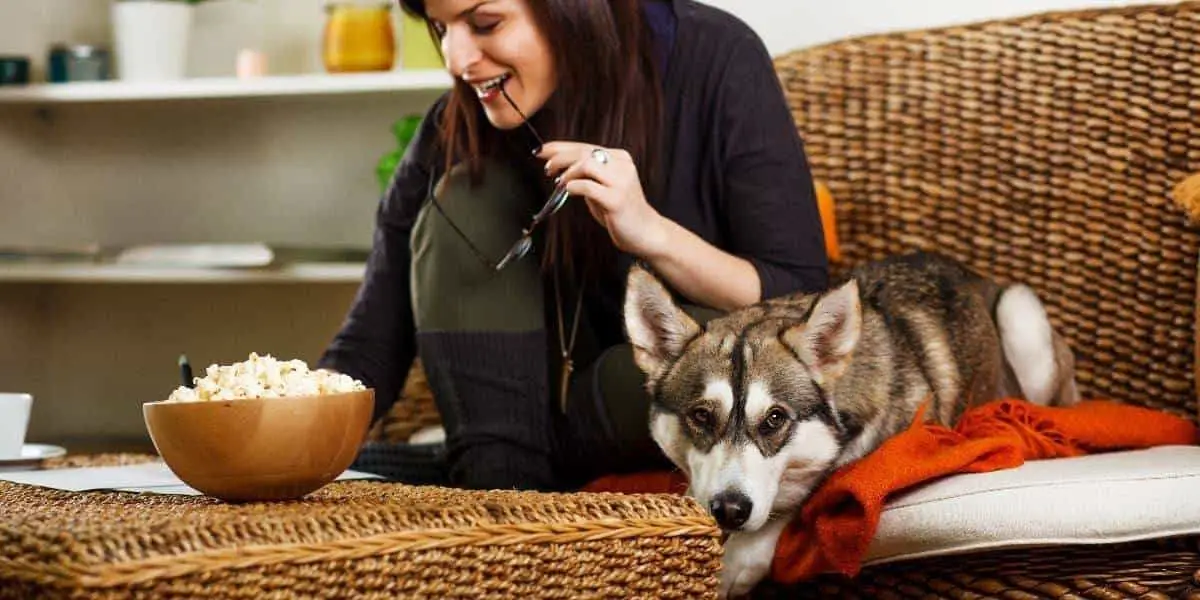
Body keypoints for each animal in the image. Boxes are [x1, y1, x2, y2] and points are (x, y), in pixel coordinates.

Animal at [624, 249, 1084, 595]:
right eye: (701, 415)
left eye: (774, 419)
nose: (730, 511)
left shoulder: (907, 443)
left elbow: (820, 489)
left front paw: (743, 553)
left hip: (1020, 312)